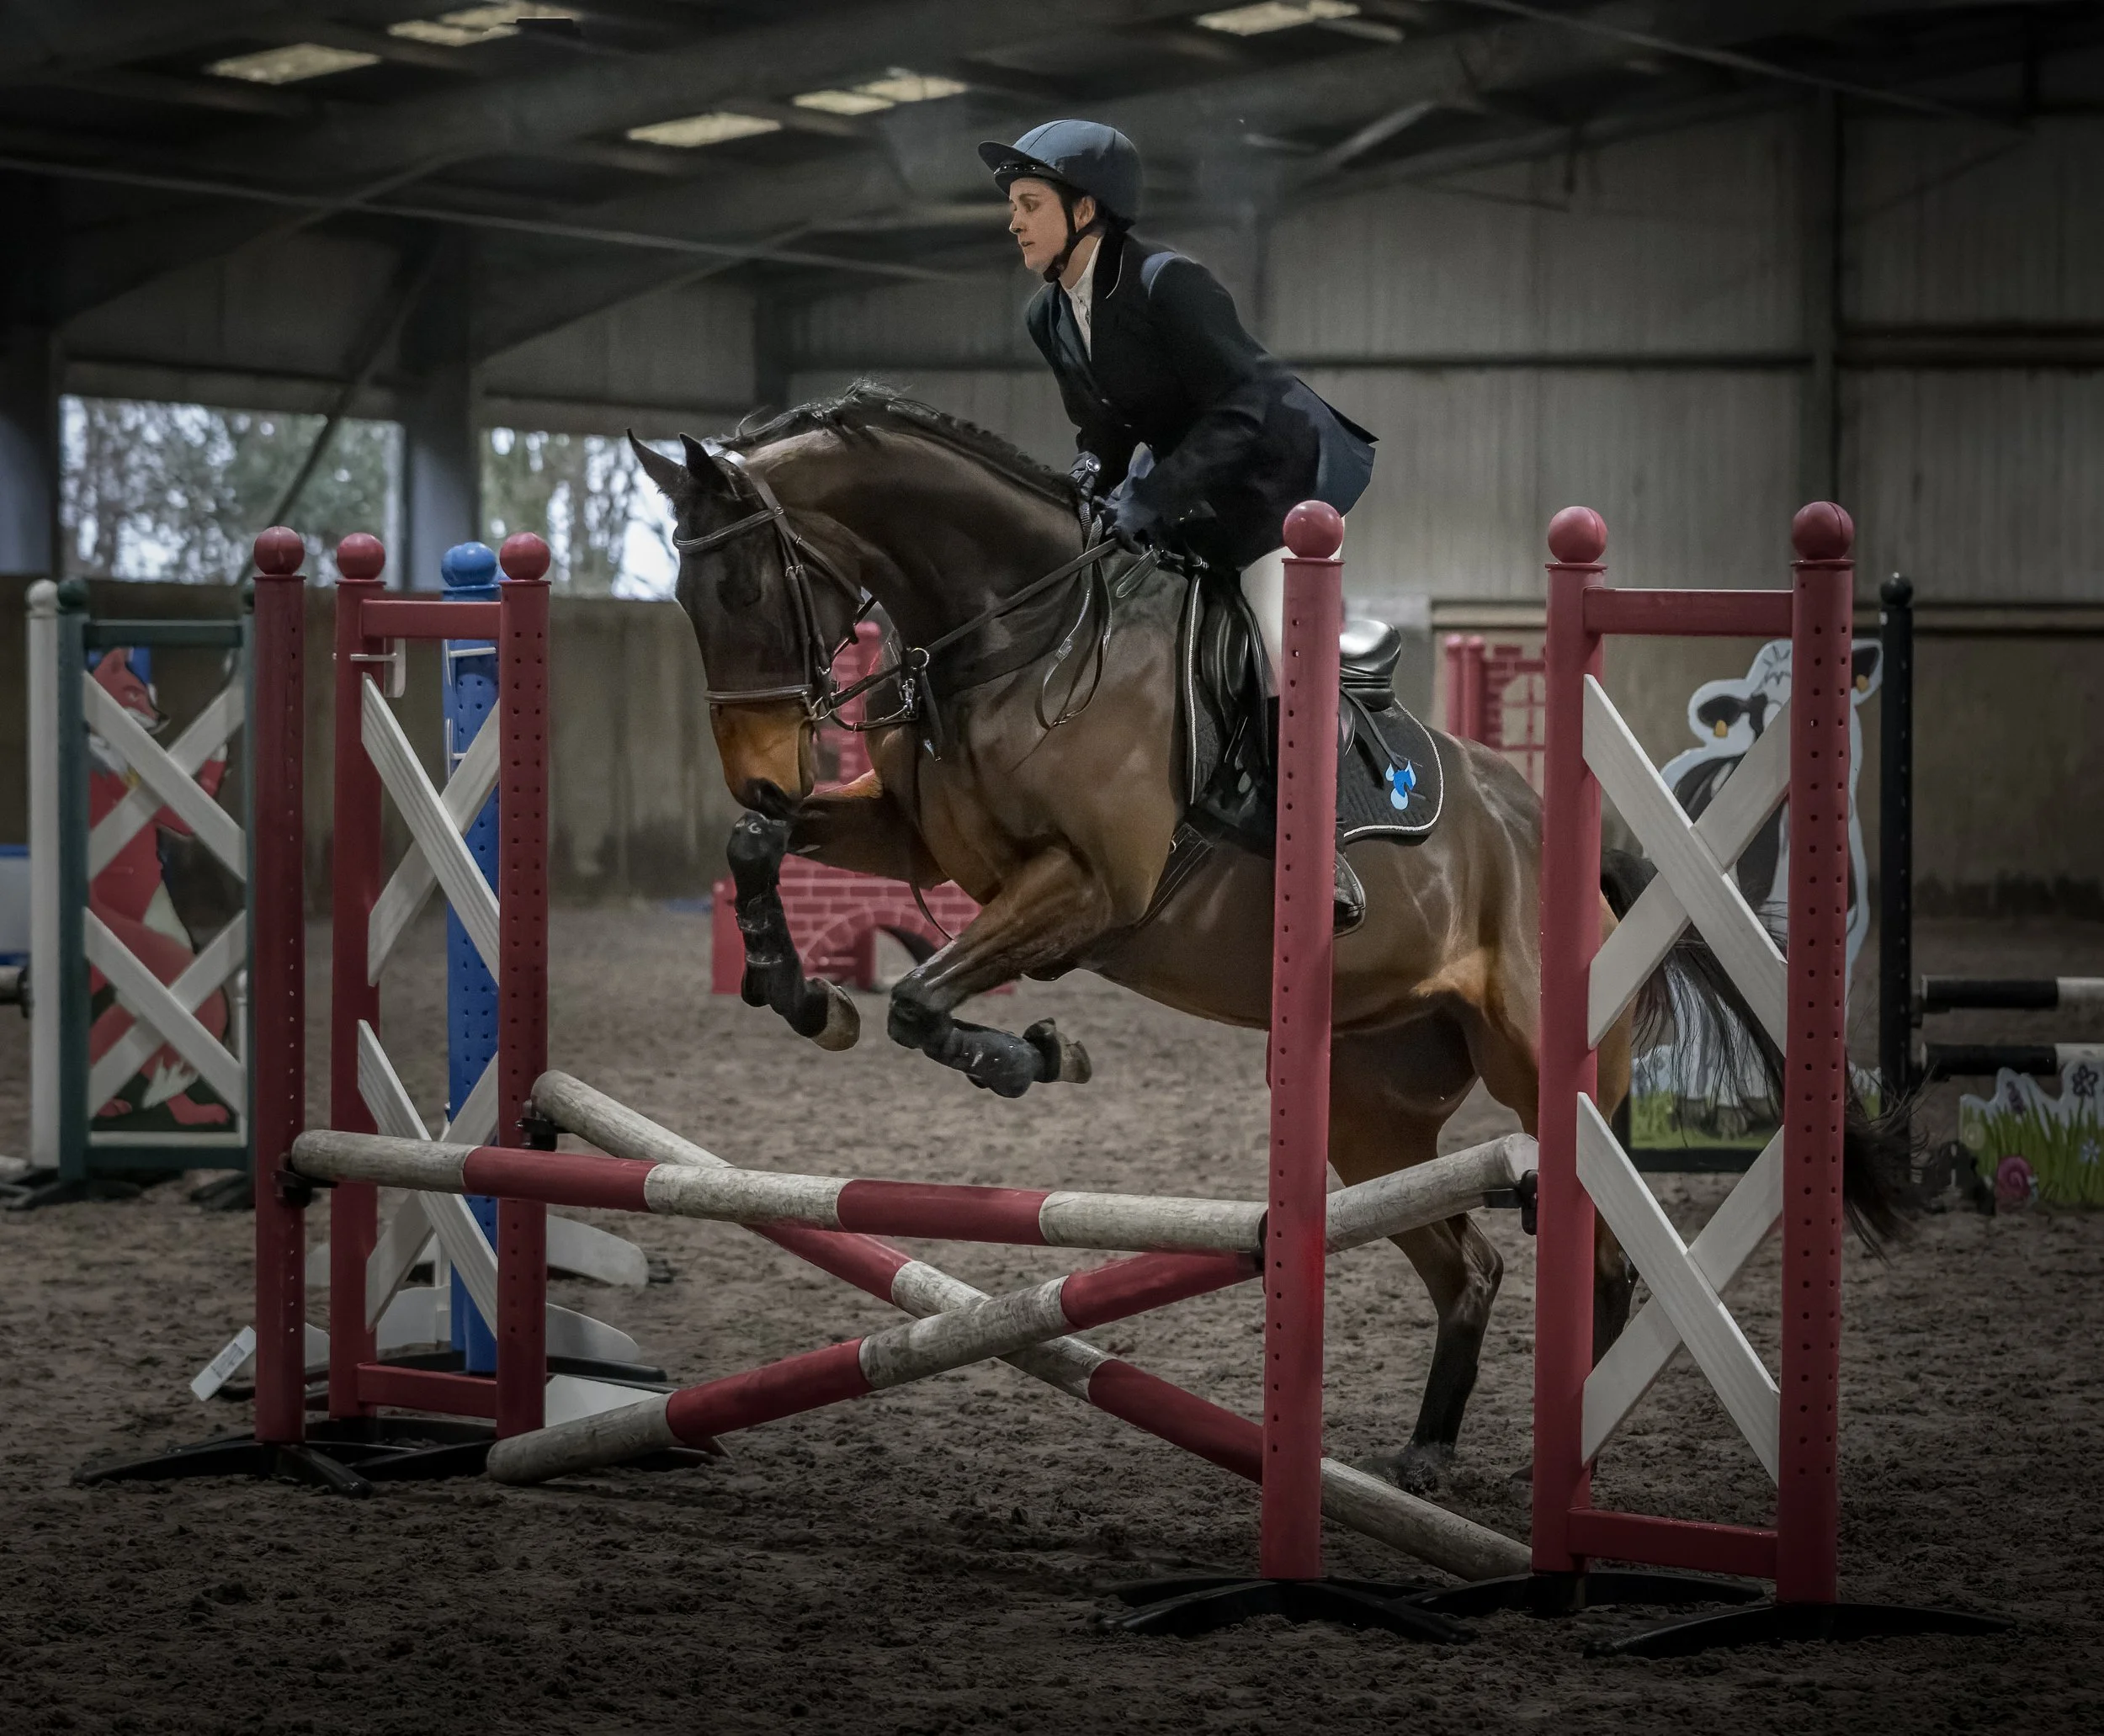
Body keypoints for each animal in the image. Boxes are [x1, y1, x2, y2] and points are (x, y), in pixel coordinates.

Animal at [628, 384, 1907, 1493]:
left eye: (742, 590)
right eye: (684, 599)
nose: (761, 767)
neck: (1018, 629)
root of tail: (1563, 837)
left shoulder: (1093, 886)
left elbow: (923, 998)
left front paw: (1029, 1052)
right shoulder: (916, 839)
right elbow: (764, 854)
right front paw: (800, 991)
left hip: (1544, 1067)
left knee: (1596, 1251)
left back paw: (1566, 1451)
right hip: (1367, 1113)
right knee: (1473, 1261)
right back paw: (1429, 1450)